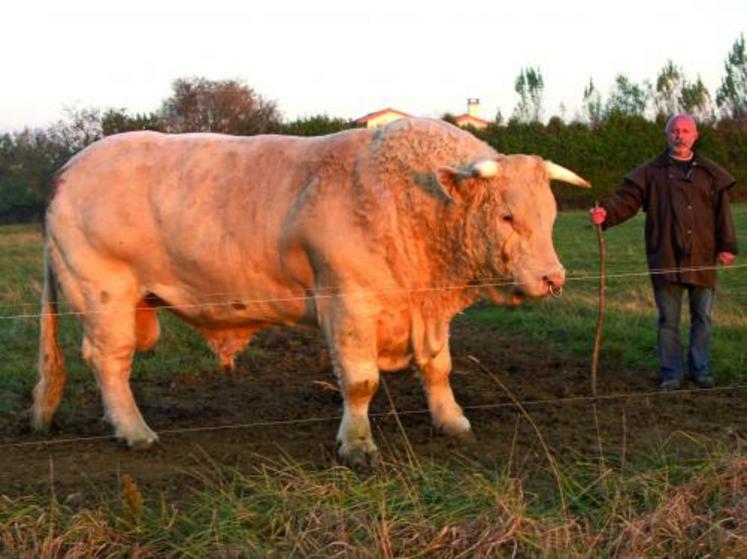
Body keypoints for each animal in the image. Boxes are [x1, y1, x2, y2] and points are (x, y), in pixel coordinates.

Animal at [33, 118, 592, 468]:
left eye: (549, 215)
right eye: (508, 216)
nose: (553, 278)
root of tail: (68, 170)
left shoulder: (428, 310)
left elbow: (437, 367)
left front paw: (451, 420)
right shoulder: (348, 305)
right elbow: (361, 381)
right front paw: (358, 445)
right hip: (104, 296)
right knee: (110, 362)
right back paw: (134, 431)